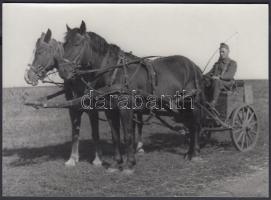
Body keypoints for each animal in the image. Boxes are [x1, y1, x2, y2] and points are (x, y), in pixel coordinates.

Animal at [24, 29, 103, 167]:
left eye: (40, 52)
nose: (30, 76)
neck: (77, 78)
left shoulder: (93, 109)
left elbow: (95, 133)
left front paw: (97, 159)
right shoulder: (72, 108)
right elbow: (75, 132)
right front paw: (72, 158)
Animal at [64, 20, 206, 173]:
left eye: (77, 44)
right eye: (64, 44)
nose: (64, 71)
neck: (115, 72)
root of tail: (194, 66)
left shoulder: (126, 109)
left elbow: (128, 135)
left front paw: (129, 164)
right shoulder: (110, 110)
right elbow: (115, 136)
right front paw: (116, 163)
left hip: (192, 103)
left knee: (195, 125)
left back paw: (195, 154)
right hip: (181, 105)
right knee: (189, 126)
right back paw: (188, 153)